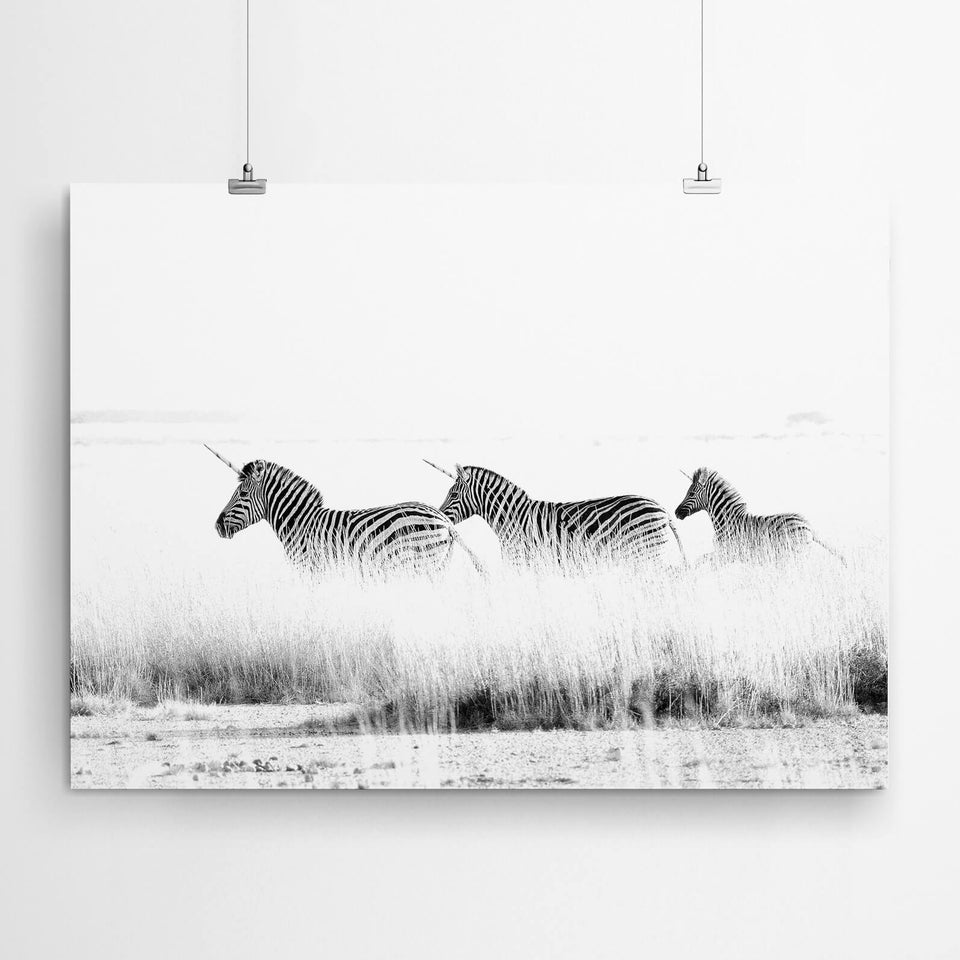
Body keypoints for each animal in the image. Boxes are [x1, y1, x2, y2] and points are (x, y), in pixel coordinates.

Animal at [206, 445, 483, 576]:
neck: (299, 523)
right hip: (436, 566)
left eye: (242, 495)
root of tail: (445, 521)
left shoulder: (309, 569)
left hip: (421, 563)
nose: (217, 525)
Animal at [424, 460, 685, 567]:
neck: (513, 517)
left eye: (453, 495)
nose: (440, 516)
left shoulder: (522, 558)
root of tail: (662, 509)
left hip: (645, 553)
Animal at [674, 467, 844, 563]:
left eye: (691, 493)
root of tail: (808, 524)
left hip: (796, 552)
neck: (726, 520)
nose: (676, 512)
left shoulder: (727, 553)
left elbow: (702, 561)